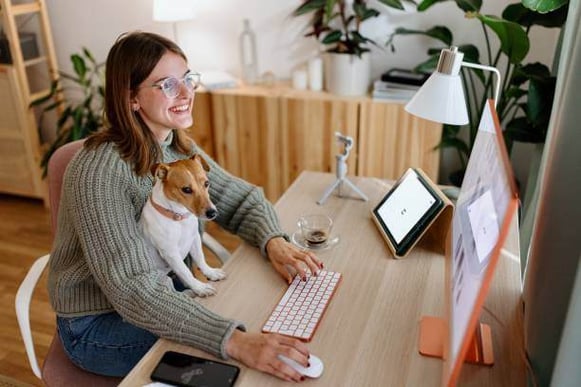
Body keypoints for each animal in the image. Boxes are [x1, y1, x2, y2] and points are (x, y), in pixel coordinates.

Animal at [140, 155, 227, 298]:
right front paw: (200, 288)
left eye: (206, 183)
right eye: (186, 189)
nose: (212, 213)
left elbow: (200, 258)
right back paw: (189, 292)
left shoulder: (194, 239)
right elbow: (185, 272)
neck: (178, 218)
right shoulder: (170, 253)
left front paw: (210, 272)